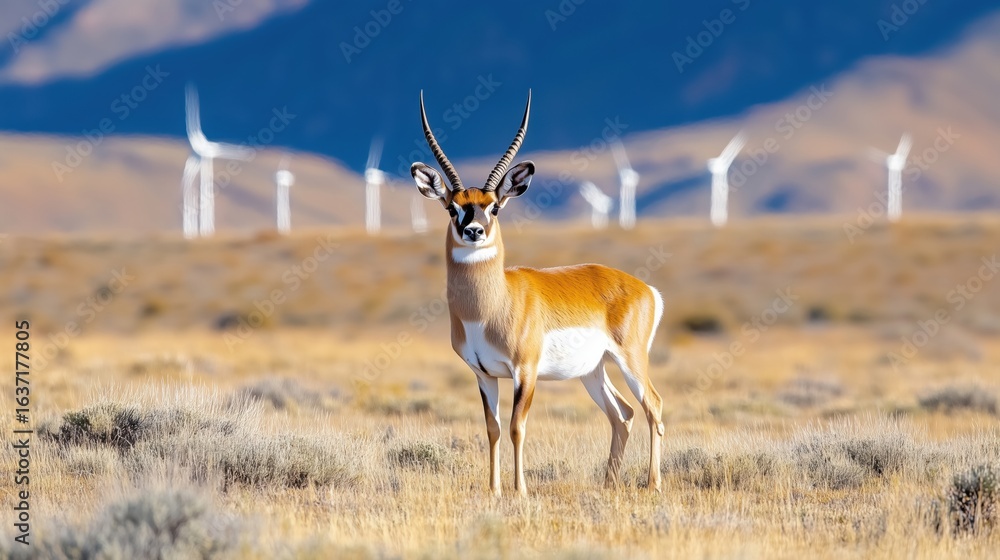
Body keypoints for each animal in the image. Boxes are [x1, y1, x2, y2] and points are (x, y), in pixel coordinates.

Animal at [410, 91, 665, 496]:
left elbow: (517, 427)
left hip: (631, 359)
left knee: (652, 405)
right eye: (452, 207)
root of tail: (646, 289)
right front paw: (495, 490)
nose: (474, 232)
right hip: (593, 370)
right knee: (622, 413)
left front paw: (521, 491)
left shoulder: (525, 372)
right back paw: (608, 484)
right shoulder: (483, 374)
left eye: (494, 207)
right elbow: (493, 429)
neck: (490, 307)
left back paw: (652, 484)